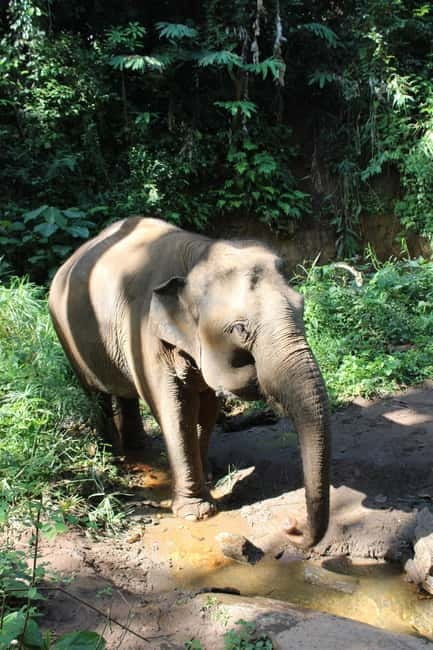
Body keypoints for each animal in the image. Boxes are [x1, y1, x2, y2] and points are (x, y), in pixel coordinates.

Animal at [49, 217, 331, 547]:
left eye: (301, 307)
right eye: (240, 329)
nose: (291, 526)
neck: (199, 255)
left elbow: (206, 409)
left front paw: (208, 476)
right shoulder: (144, 331)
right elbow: (176, 410)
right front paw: (197, 513)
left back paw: (138, 448)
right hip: (66, 336)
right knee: (95, 395)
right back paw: (114, 455)